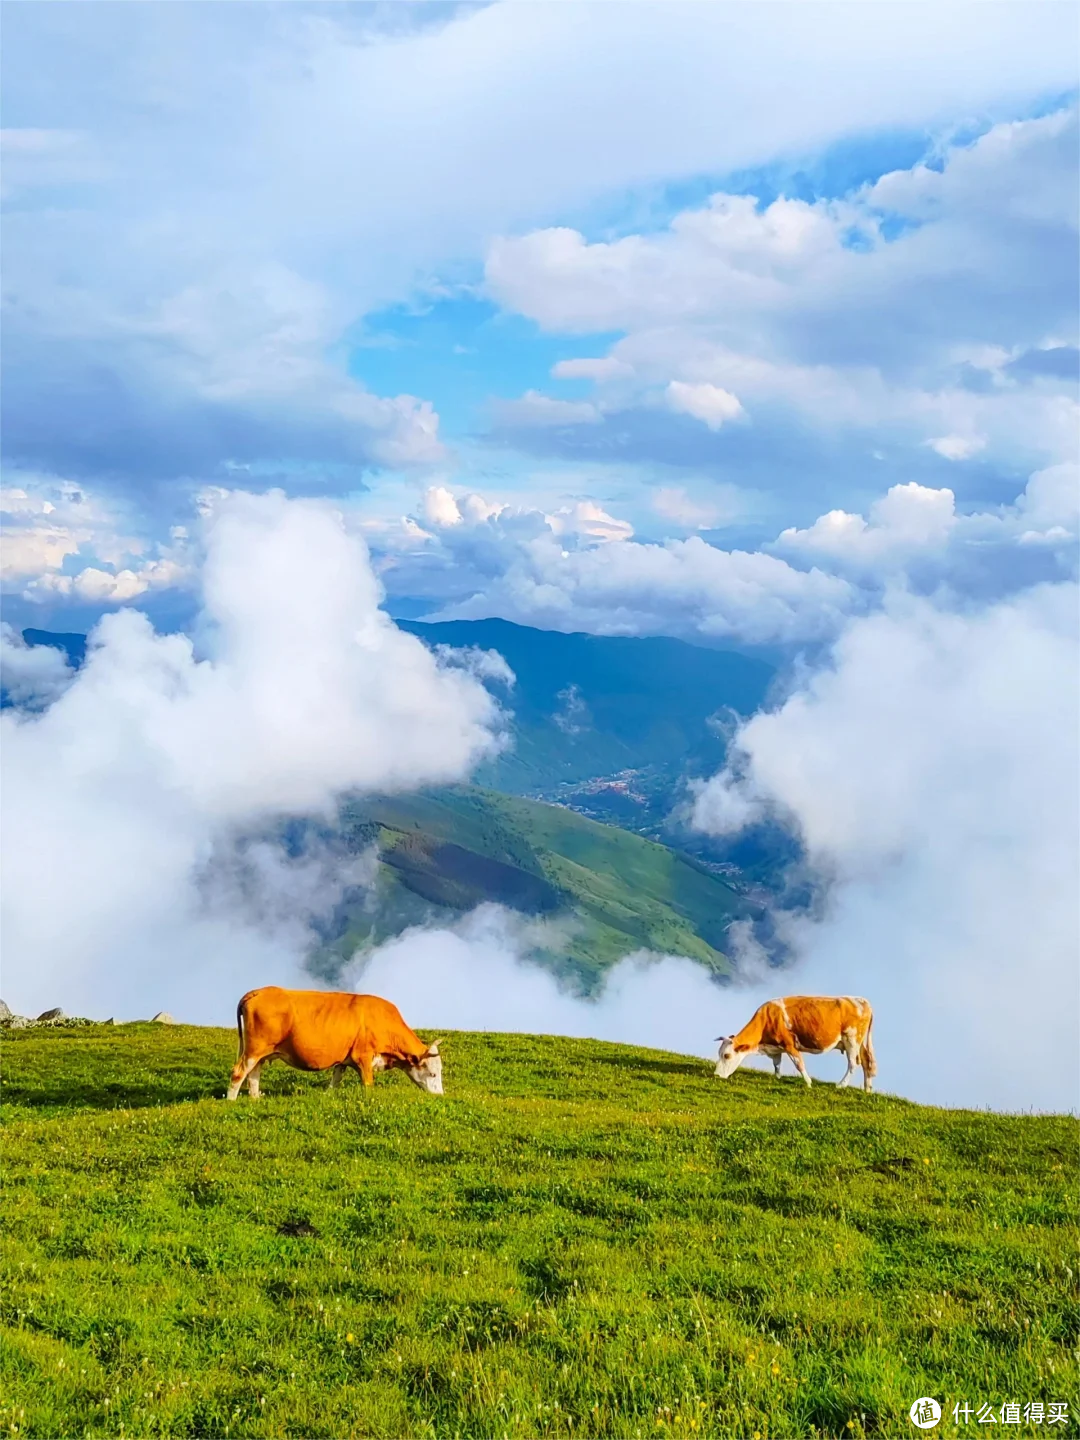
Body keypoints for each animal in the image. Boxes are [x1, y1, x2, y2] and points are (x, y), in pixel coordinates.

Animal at [226, 990, 446, 1100]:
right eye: (433, 1074)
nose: (440, 1096)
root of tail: (258, 992)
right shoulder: (363, 1056)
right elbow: (368, 1084)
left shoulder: (344, 1059)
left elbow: (335, 1080)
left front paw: (328, 1097)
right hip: (254, 1049)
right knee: (239, 1072)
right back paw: (231, 1100)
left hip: (261, 1052)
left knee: (253, 1074)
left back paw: (256, 1099)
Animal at [714, 990, 875, 1088]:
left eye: (726, 1055)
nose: (716, 1075)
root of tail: (863, 1001)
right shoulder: (776, 1048)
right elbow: (776, 1064)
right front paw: (777, 1078)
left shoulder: (789, 1045)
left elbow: (799, 1064)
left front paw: (808, 1083)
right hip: (859, 1042)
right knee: (866, 1062)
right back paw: (867, 1089)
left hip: (852, 1040)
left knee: (853, 1063)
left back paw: (841, 1085)